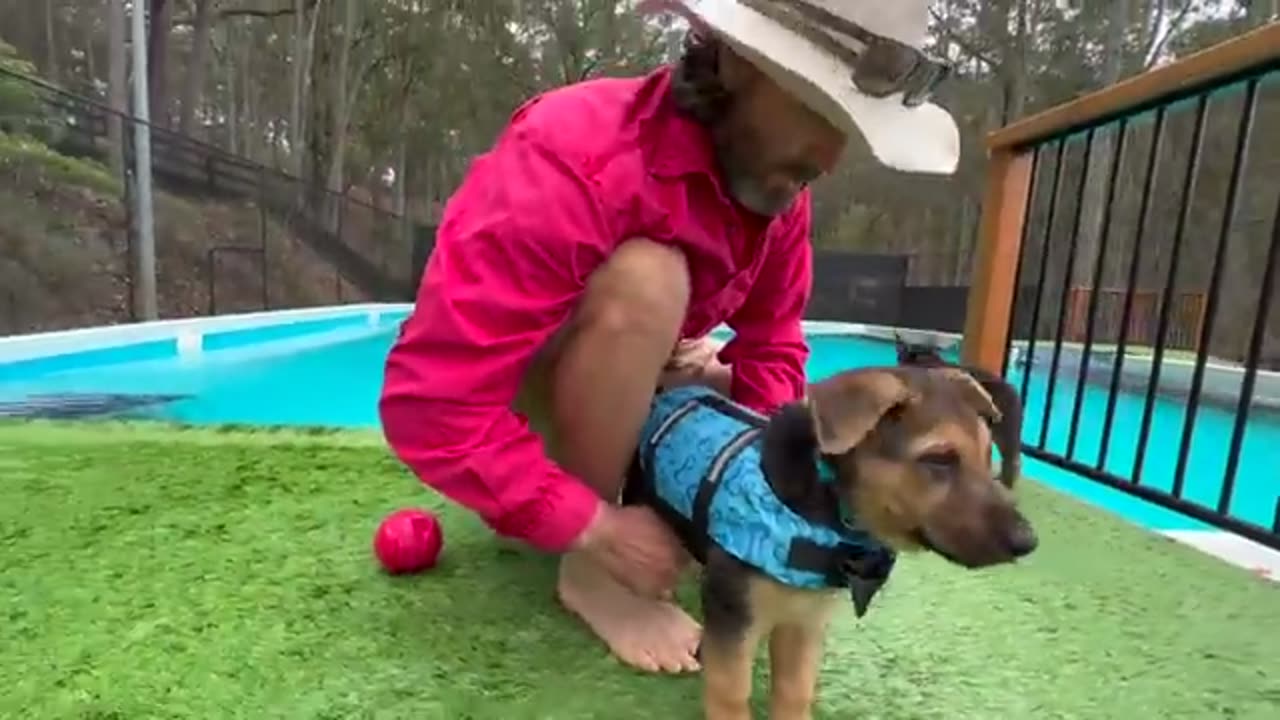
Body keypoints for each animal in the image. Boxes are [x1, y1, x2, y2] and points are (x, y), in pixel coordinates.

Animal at [624, 363, 1034, 717]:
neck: (830, 505)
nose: (1028, 542)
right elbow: (731, 695)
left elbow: (794, 691)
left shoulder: (805, 620)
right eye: (939, 459)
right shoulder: (736, 618)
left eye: (987, 455)